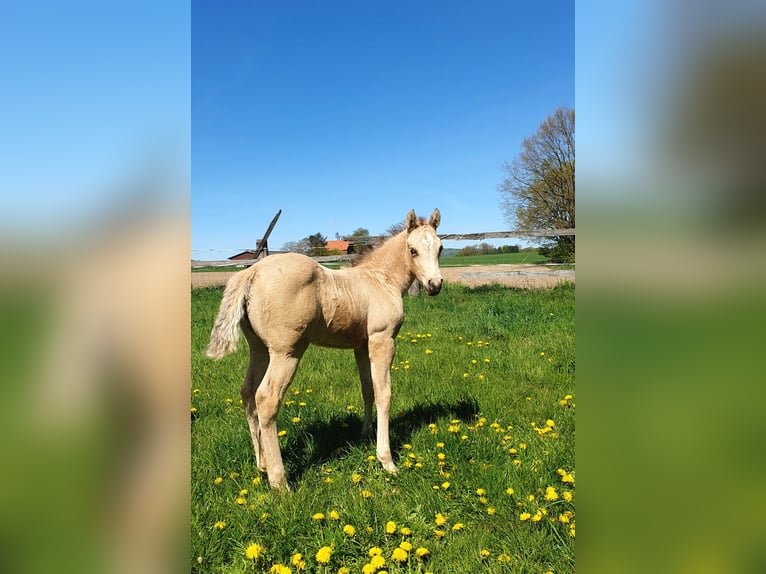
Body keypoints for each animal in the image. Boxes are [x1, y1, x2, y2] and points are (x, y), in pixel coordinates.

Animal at [206, 209, 443, 489]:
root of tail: (251, 272)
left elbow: (367, 390)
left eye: (440, 248)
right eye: (412, 250)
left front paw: (364, 435)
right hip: (287, 352)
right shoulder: (382, 340)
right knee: (266, 398)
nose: (435, 285)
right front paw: (387, 461)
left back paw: (262, 465)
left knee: (248, 393)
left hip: (260, 349)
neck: (381, 280)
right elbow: (384, 393)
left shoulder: (361, 345)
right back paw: (280, 481)